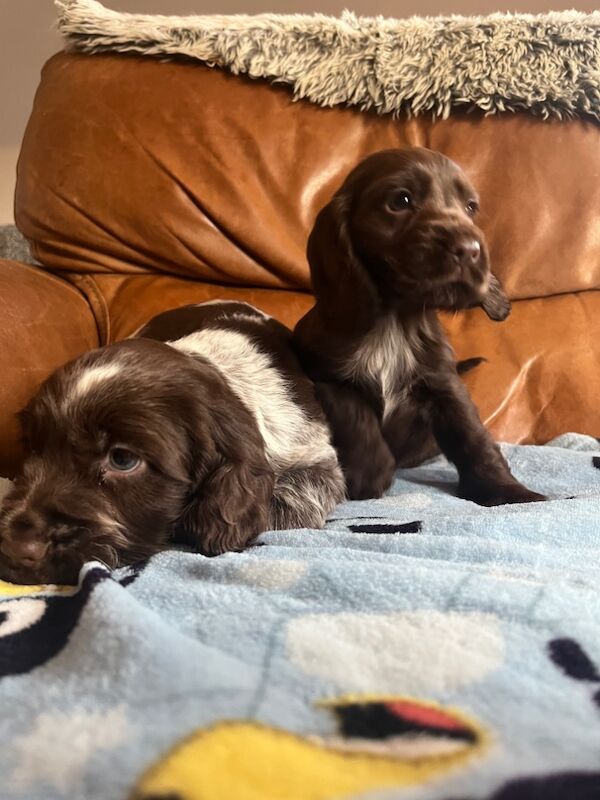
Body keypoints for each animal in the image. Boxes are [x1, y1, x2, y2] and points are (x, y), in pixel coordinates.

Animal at [292, 147, 548, 504]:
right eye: (401, 200)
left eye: (471, 207)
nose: (470, 250)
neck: (394, 322)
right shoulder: (326, 375)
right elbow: (353, 413)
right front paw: (371, 473)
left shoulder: (444, 384)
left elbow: (474, 438)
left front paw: (508, 492)